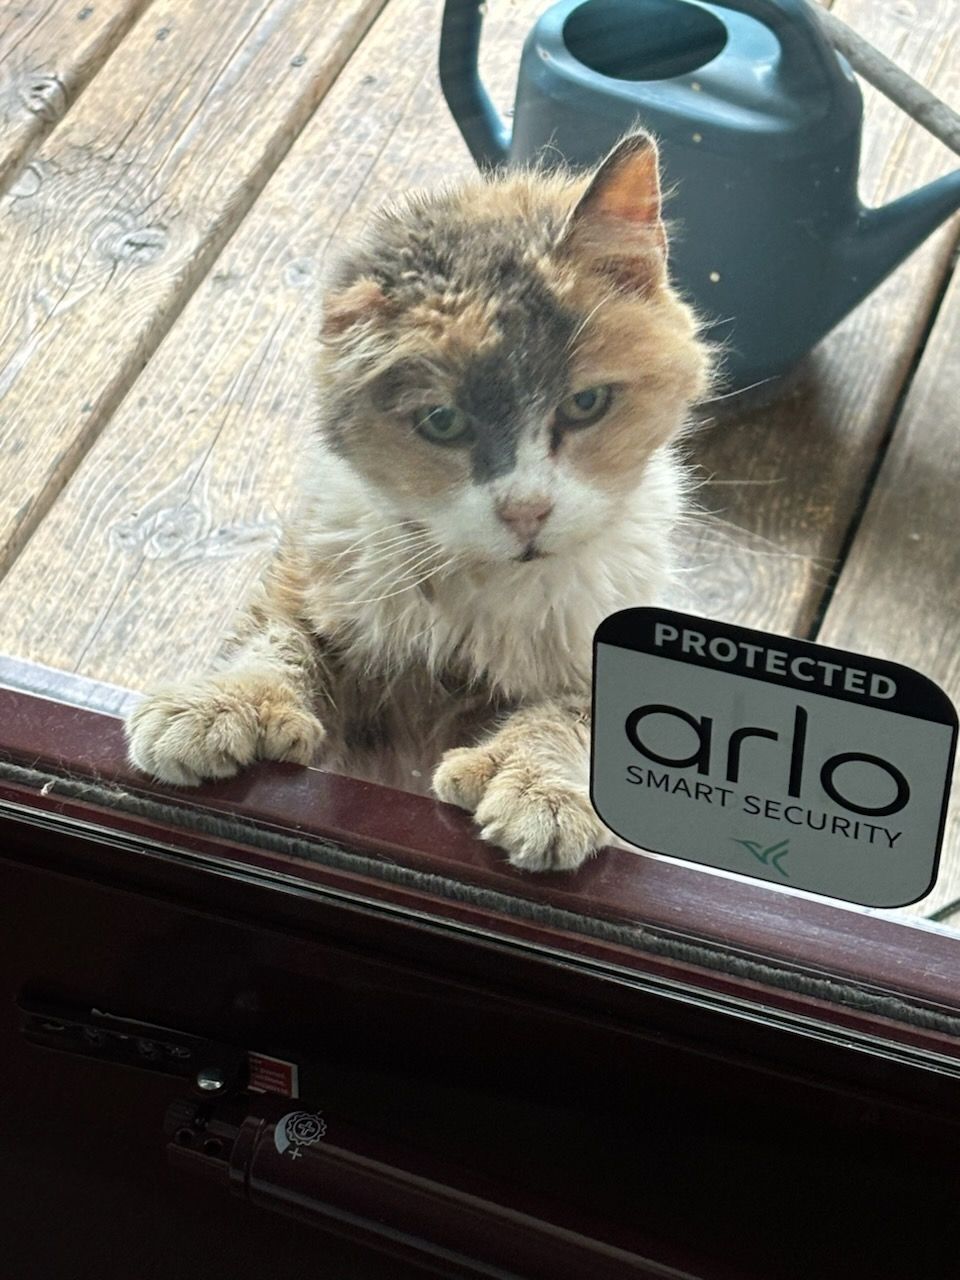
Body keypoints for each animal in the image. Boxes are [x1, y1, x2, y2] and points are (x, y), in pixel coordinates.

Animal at [125, 131, 711, 873]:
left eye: (585, 403)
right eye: (442, 422)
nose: (526, 511)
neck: (486, 591)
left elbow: (571, 713)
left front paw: (538, 788)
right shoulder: (318, 566)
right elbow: (279, 637)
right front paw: (218, 705)